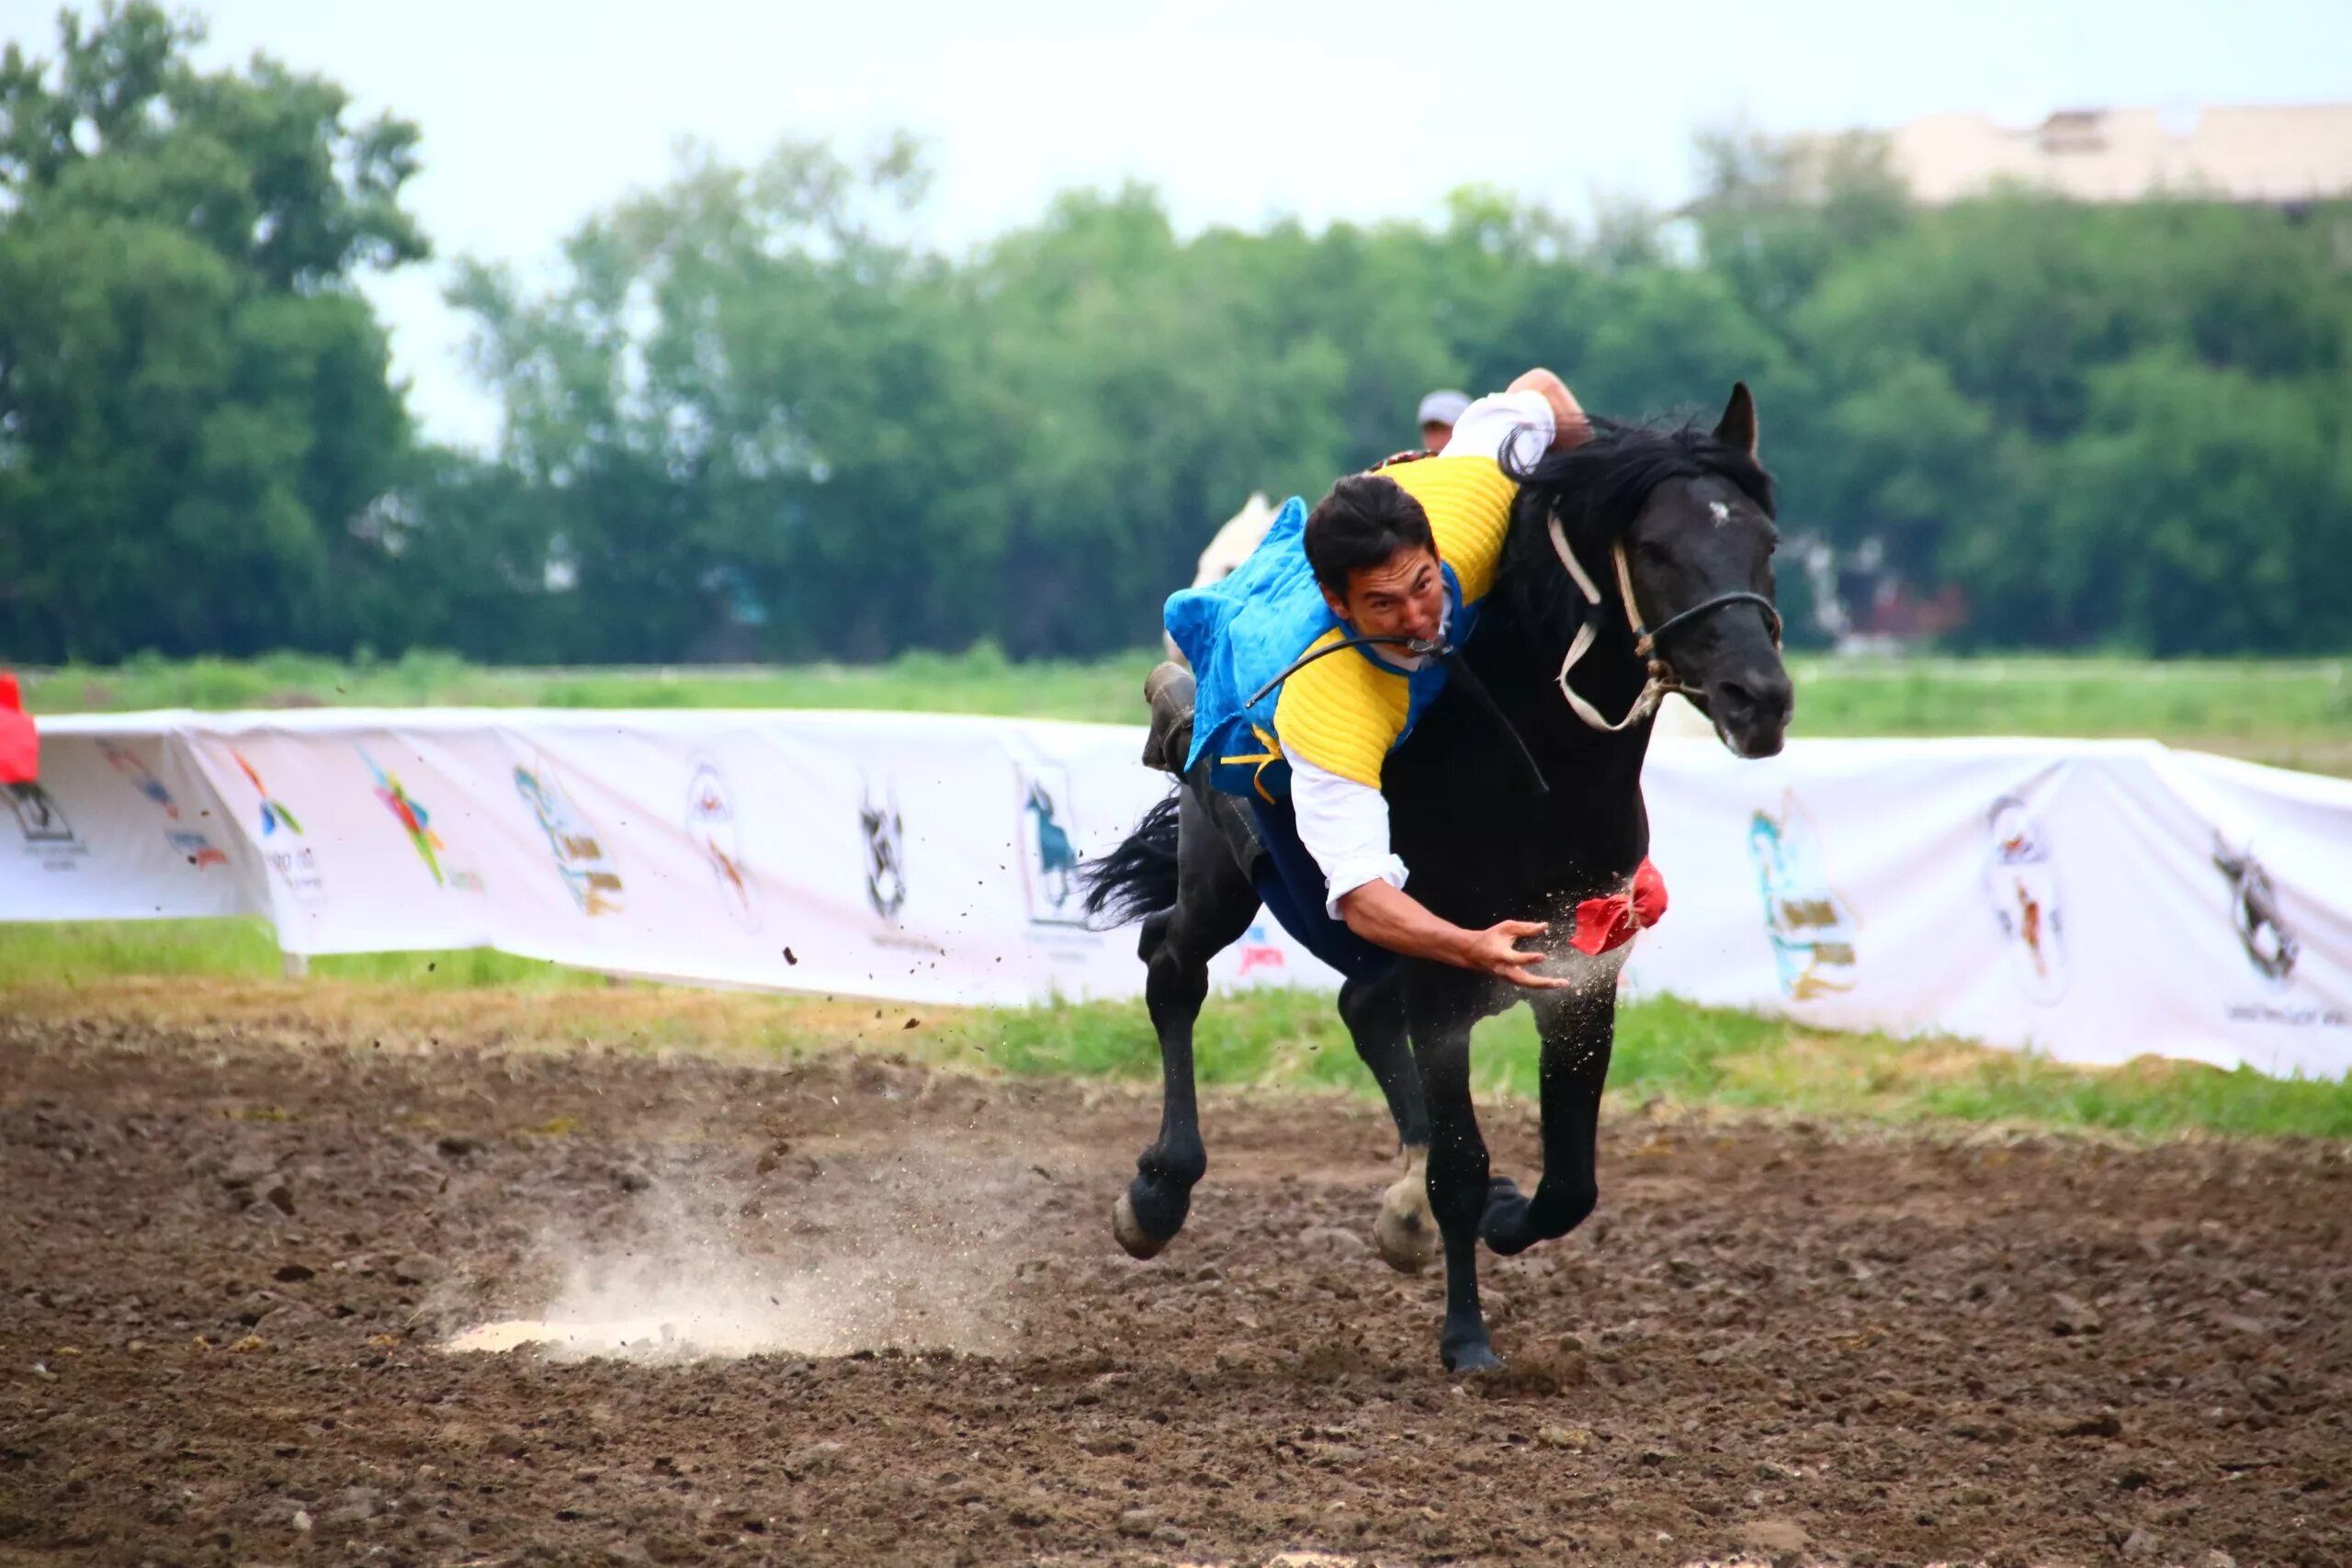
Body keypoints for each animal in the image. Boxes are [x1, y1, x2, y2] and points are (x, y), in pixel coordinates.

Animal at [1077, 389, 1778, 1372]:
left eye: (1766, 542)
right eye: (1655, 549)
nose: (1762, 696)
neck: (1534, 775)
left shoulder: (1581, 968)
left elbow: (1570, 1181)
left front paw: (1499, 1215)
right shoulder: (1448, 970)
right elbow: (1461, 1163)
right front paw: (1467, 1336)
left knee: (1361, 1005)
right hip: (1224, 869)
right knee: (1172, 964)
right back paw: (1159, 1190)